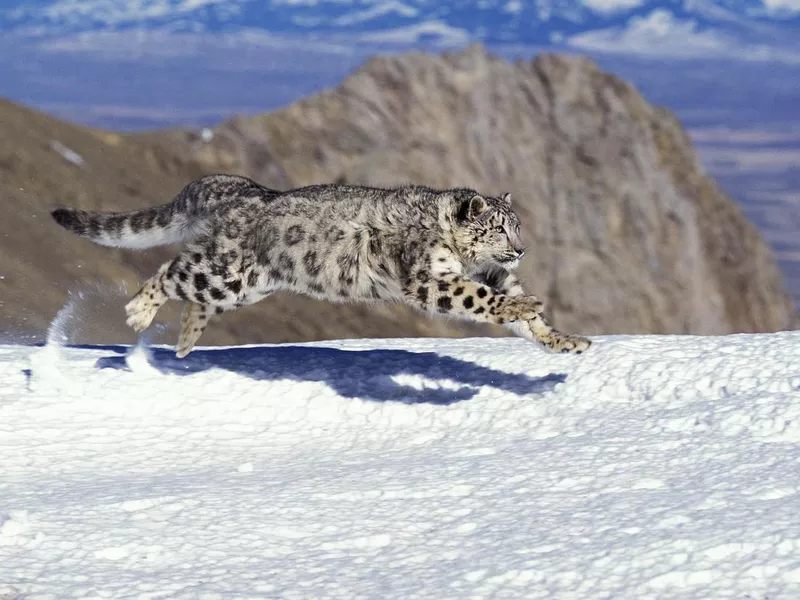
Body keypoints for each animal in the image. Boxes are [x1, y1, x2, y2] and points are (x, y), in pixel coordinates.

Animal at [50, 176, 588, 358]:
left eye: (517, 226)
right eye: (498, 229)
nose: (521, 250)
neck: (468, 259)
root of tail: (242, 189)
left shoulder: (488, 272)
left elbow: (509, 300)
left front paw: (563, 339)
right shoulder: (428, 277)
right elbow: (482, 298)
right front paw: (523, 305)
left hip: (245, 286)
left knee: (195, 294)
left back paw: (184, 342)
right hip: (226, 271)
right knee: (171, 271)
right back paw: (140, 311)